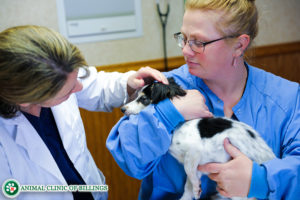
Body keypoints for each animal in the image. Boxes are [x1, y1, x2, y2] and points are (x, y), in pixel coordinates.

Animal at [120, 77, 276, 199]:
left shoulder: (194, 152)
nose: (122, 109)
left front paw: (196, 188)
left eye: (144, 99)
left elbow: (189, 172)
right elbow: (188, 185)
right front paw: (193, 192)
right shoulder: (197, 166)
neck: (178, 126)